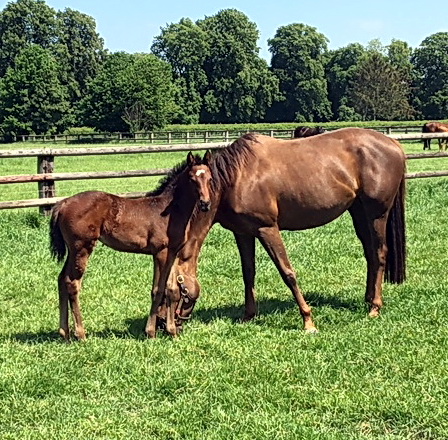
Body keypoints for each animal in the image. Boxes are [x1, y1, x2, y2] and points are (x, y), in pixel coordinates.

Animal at [149, 127, 408, 336]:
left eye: (176, 288)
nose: (162, 323)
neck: (234, 179)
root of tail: (393, 144)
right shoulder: (243, 233)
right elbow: (248, 273)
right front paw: (248, 316)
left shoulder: (267, 229)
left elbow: (287, 272)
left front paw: (308, 320)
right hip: (359, 212)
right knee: (370, 254)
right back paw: (367, 300)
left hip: (376, 214)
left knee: (380, 253)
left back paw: (375, 307)